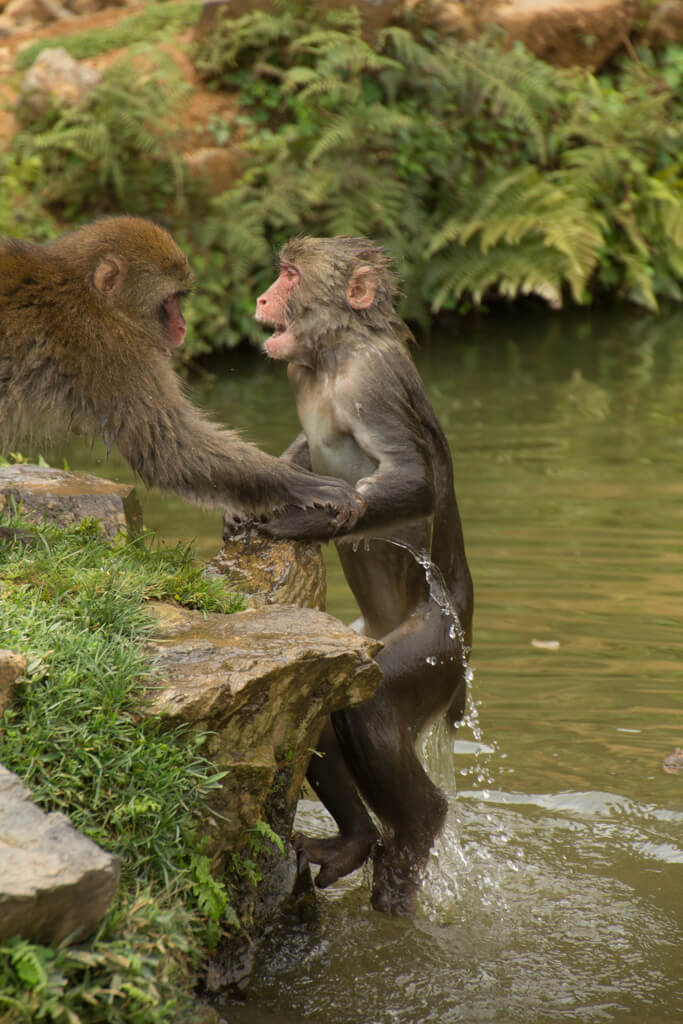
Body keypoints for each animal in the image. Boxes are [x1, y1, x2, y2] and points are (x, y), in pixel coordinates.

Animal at [0, 218, 366, 536]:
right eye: (171, 300)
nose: (182, 327)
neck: (91, 295)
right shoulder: (117, 350)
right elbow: (172, 449)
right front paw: (306, 486)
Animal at [255, 234, 475, 913]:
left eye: (289, 275)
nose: (263, 296)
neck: (332, 355)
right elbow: (303, 449)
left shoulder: (371, 382)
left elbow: (412, 476)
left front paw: (305, 520)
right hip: (369, 640)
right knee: (329, 696)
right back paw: (355, 840)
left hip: (439, 651)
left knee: (373, 710)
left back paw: (417, 830)